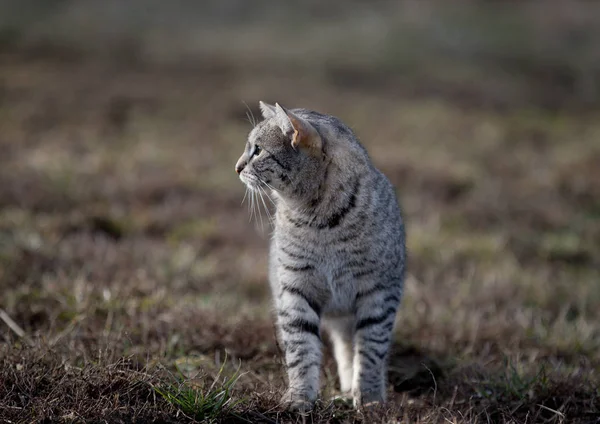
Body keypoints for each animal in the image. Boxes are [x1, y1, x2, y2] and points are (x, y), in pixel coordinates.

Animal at [236, 102, 408, 410]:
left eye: (257, 150)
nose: (237, 167)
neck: (321, 221)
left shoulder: (379, 292)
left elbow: (372, 349)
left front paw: (370, 399)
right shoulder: (294, 290)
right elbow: (301, 348)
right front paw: (299, 398)